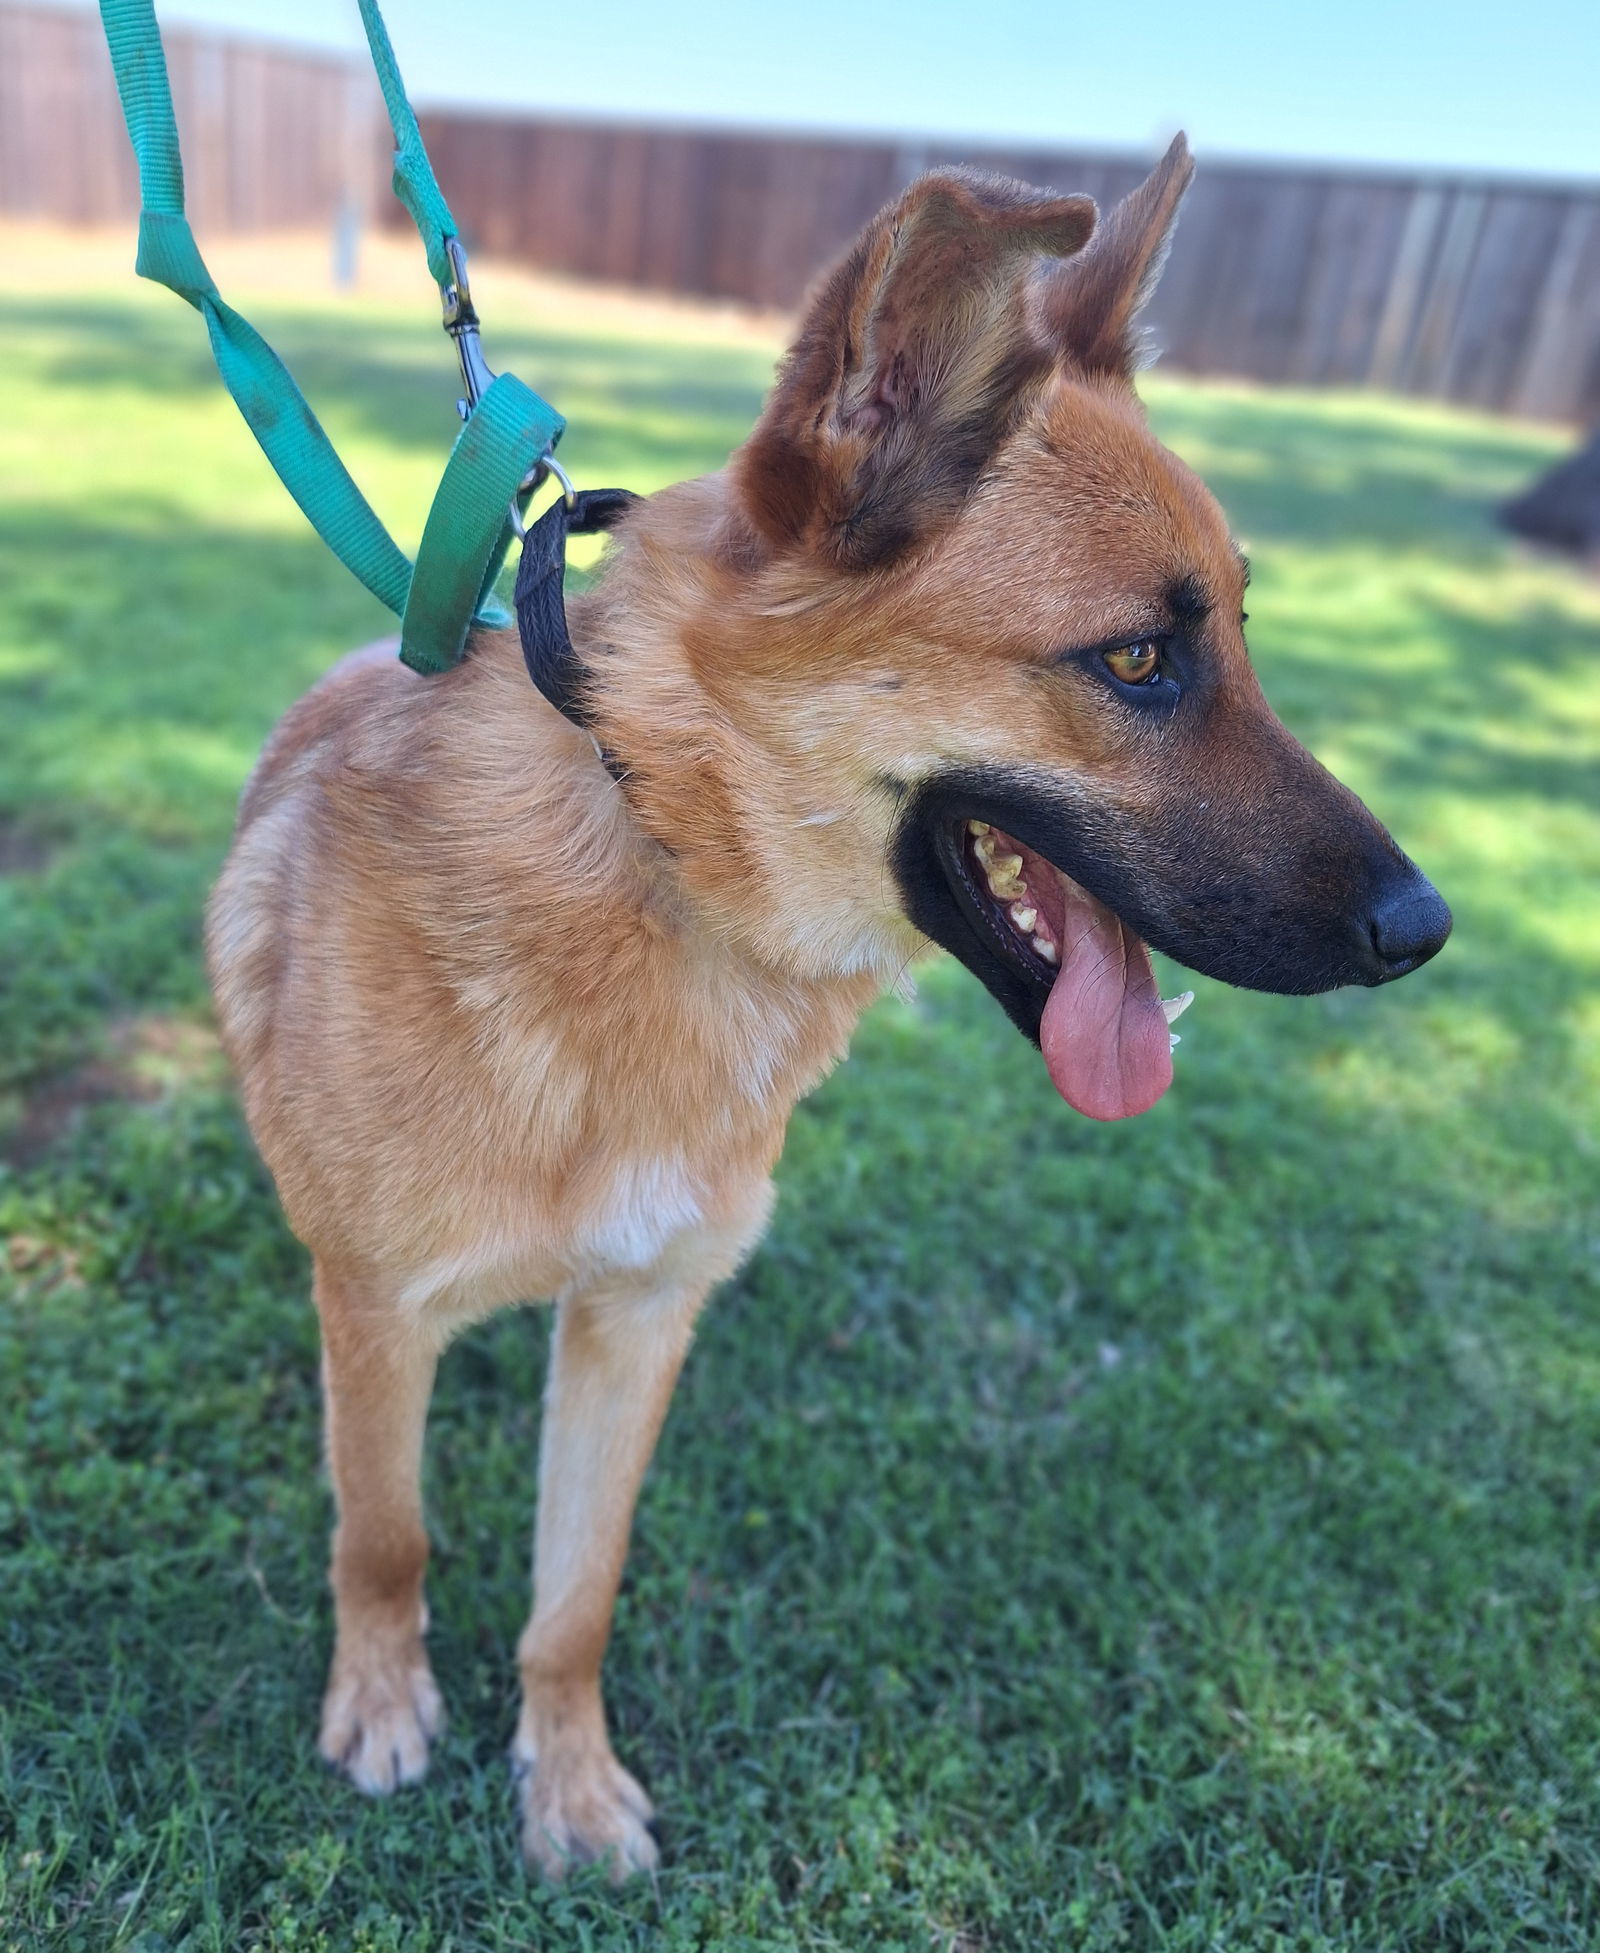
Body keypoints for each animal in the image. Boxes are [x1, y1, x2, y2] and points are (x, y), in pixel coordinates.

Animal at [203, 137, 1453, 1874]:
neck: (658, 861)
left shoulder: (640, 1320)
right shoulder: (382, 1312)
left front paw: (567, 1782)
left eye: (1244, 640)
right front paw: (383, 1702)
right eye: (1139, 659)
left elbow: (574, 1600)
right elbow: (384, 1535)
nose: (1428, 928)